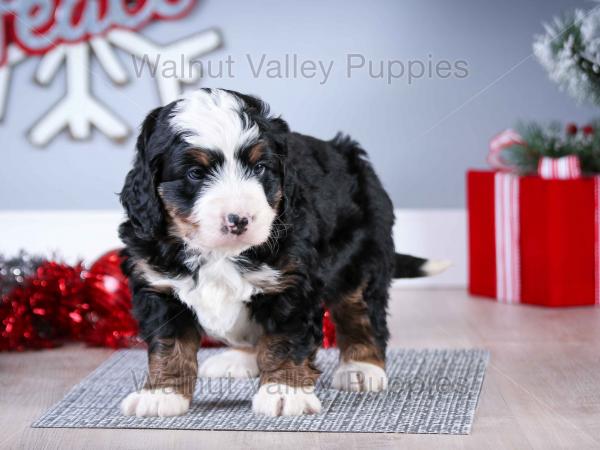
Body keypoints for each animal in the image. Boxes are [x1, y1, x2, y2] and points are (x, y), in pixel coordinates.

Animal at [117, 89, 448, 418]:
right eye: (195, 173)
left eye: (259, 168)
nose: (239, 219)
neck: (220, 254)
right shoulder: (158, 285)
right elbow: (168, 344)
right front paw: (161, 393)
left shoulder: (292, 283)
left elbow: (285, 340)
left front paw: (285, 391)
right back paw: (239, 359)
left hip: (362, 258)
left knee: (361, 312)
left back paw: (362, 367)